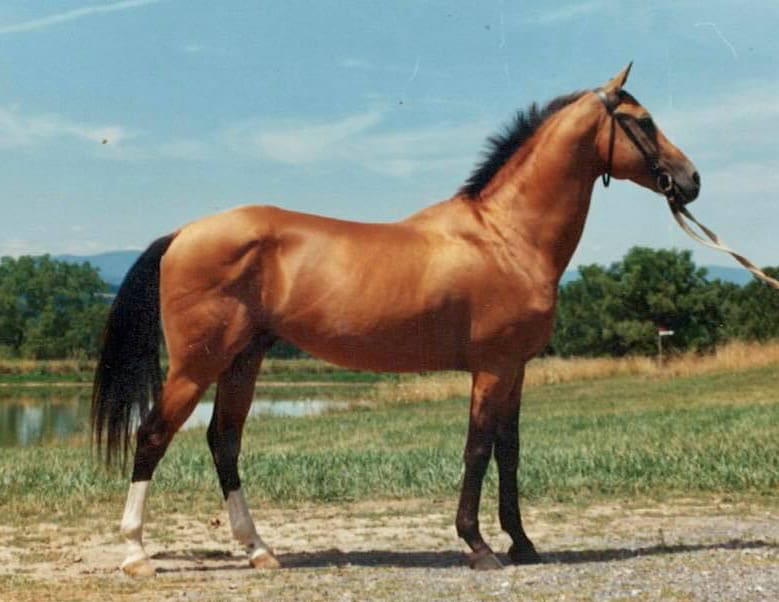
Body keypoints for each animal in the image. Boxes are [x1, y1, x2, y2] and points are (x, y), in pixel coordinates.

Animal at [91, 64, 700, 575]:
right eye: (643, 121)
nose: (691, 179)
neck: (504, 236)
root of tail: (182, 234)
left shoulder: (516, 369)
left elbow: (509, 451)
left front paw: (523, 544)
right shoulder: (493, 368)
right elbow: (478, 449)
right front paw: (478, 546)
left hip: (244, 359)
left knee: (224, 440)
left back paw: (260, 550)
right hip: (197, 365)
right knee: (153, 436)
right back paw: (136, 554)